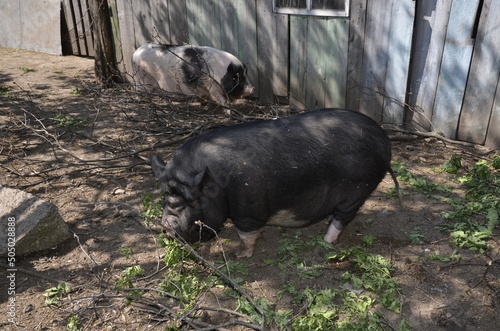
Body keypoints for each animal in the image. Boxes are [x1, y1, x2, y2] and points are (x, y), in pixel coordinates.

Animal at [150, 109, 400, 260]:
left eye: (193, 200)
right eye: (165, 196)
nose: (167, 225)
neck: (219, 183)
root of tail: (384, 140)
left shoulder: (249, 207)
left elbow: (247, 233)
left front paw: (240, 255)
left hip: (358, 188)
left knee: (343, 216)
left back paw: (326, 241)